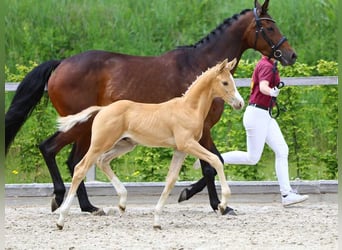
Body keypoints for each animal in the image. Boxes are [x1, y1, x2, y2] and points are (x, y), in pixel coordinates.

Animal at [55, 57, 243, 229]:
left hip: (125, 145)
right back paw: (61, 219)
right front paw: (223, 204)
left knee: (103, 161)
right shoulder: (188, 144)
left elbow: (171, 180)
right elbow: (216, 160)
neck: (189, 109)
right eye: (225, 82)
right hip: (99, 144)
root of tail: (103, 109)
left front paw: (157, 221)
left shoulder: (180, 150)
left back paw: (122, 202)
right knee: (80, 168)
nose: (240, 103)